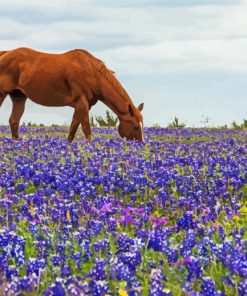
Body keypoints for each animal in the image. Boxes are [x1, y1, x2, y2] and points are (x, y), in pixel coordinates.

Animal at [0, 46, 145, 142]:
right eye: (136, 126)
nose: (140, 145)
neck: (92, 74)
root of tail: (5, 54)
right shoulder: (82, 103)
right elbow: (86, 130)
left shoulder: (80, 106)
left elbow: (73, 129)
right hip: (2, 94)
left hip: (18, 97)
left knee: (14, 121)